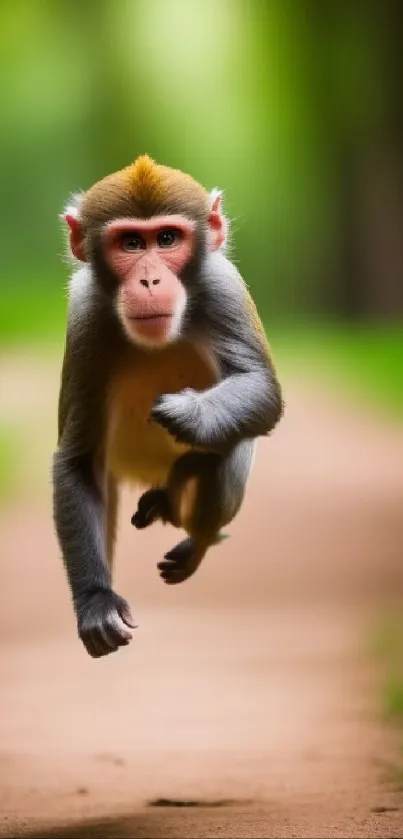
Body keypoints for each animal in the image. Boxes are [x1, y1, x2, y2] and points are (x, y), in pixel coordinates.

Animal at [53, 154, 284, 660]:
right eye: (130, 243)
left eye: (166, 239)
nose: (149, 279)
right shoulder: (85, 314)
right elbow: (79, 459)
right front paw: (96, 601)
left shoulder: (223, 286)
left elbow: (262, 391)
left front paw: (188, 416)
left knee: (224, 445)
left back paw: (192, 530)